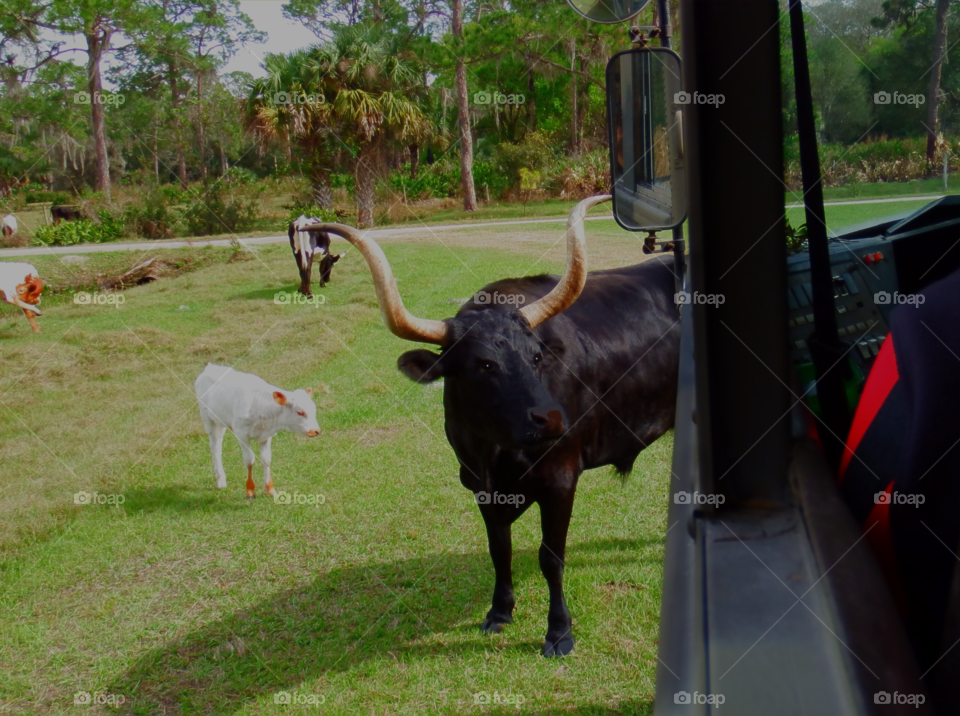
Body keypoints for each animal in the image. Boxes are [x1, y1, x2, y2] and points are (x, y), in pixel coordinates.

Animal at [195, 364, 322, 498]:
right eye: (300, 412)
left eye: (314, 409)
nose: (316, 430)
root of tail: (211, 366)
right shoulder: (241, 434)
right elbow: (249, 460)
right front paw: (250, 490)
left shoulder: (267, 435)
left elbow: (266, 460)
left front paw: (270, 489)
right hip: (209, 420)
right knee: (216, 447)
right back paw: (221, 480)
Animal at [304, 194, 680, 656]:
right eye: (483, 365)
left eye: (536, 357)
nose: (553, 418)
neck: (494, 452)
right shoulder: (480, 488)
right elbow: (498, 549)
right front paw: (500, 612)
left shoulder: (561, 478)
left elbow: (550, 557)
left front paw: (559, 631)